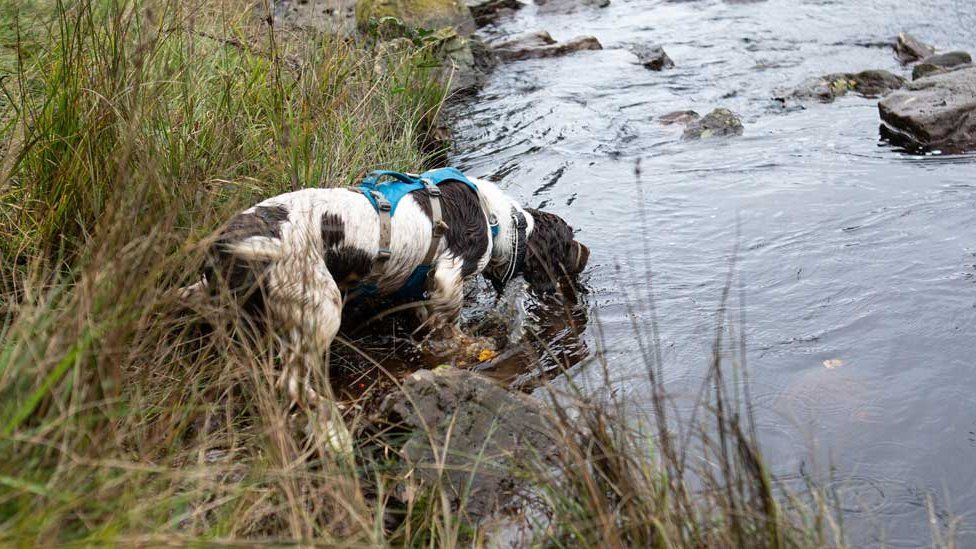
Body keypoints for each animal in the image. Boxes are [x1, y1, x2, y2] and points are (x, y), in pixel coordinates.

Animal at [198, 169, 588, 404]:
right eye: (568, 245)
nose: (586, 255)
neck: (497, 220)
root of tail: (226, 243)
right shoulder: (450, 273)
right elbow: (450, 325)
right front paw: (471, 346)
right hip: (319, 306)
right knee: (293, 381)